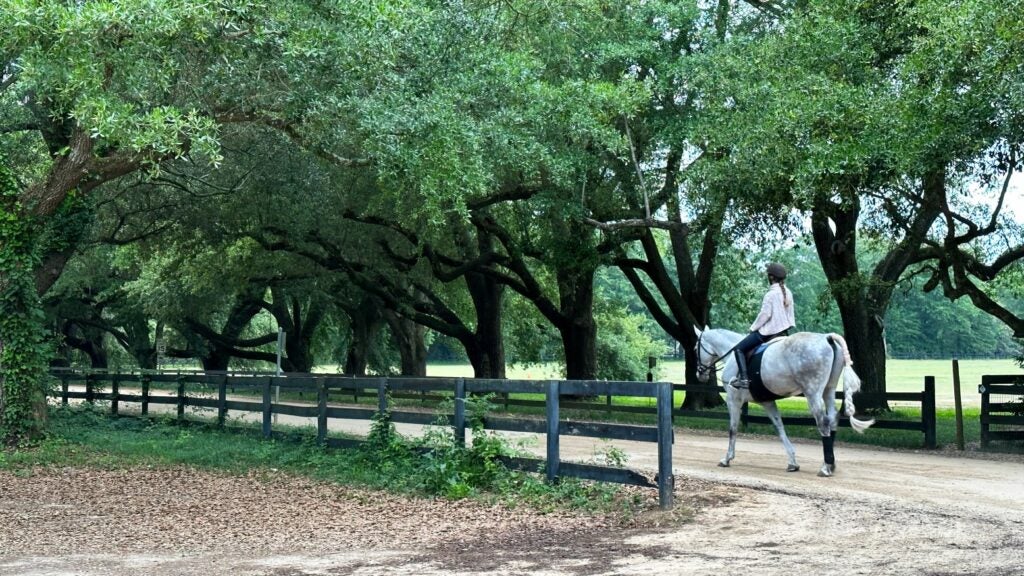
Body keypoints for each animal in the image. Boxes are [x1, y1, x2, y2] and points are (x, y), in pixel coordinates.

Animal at [692, 323, 876, 475]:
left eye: (695, 348)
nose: (700, 374)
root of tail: (826, 337)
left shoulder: (733, 400)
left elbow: (733, 429)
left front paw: (727, 458)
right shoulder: (767, 402)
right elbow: (779, 427)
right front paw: (793, 462)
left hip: (812, 393)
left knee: (823, 422)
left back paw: (825, 467)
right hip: (828, 390)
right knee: (832, 419)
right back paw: (831, 464)